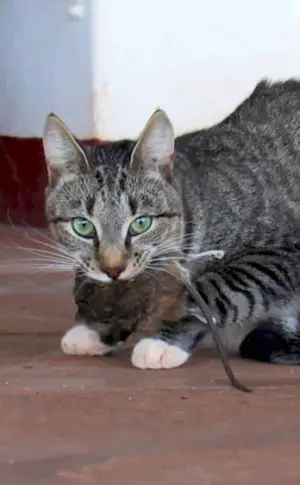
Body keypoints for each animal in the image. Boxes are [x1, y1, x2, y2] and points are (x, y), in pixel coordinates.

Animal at [42, 79, 300, 366]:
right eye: (83, 226)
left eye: (141, 223)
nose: (113, 269)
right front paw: (96, 328)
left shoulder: (281, 249)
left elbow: (218, 288)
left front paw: (165, 339)